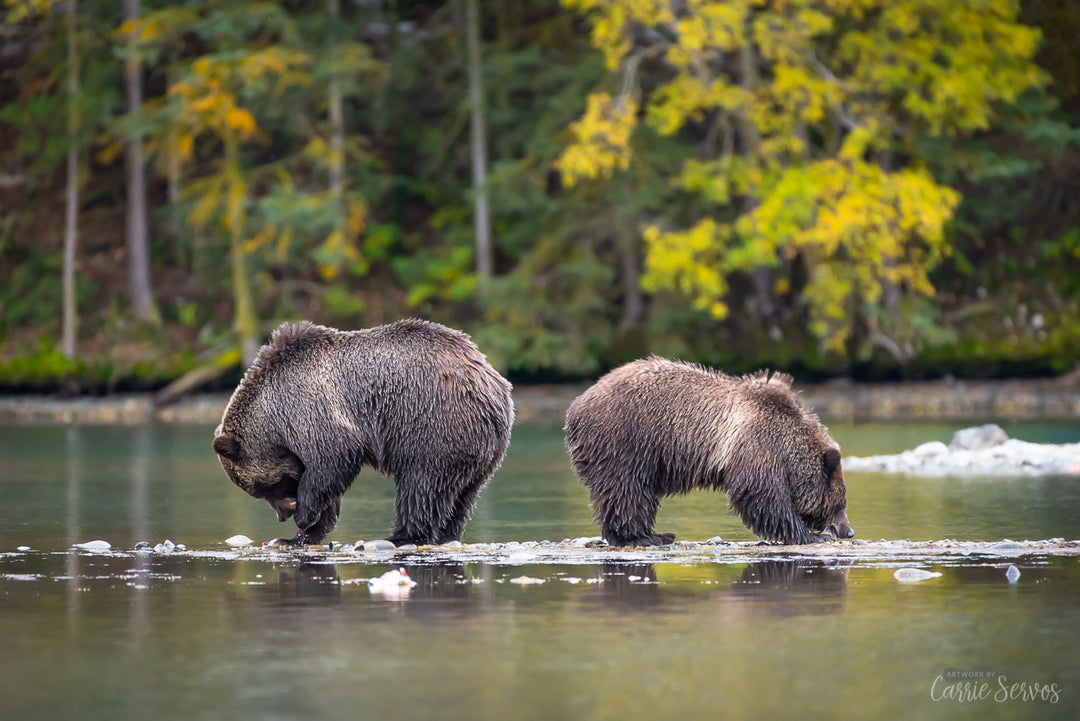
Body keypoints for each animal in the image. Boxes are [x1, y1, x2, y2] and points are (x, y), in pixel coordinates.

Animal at [213, 321, 514, 546]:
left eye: (260, 488)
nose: (283, 515)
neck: (273, 417)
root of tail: (495, 384)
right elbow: (328, 486)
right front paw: (297, 536)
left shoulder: (309, 409)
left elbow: (334, 458)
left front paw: (303, 519)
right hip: (482, 449)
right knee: (463, 495)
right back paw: (447, 533)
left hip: (435, 424)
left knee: (420, 484)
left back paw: (402, 536)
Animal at [565, 358, 851, 548]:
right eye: (840, 503)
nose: (848, 530)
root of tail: (576, 407)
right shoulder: (757, 443)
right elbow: (761, 494)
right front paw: (810, 534)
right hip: (626, 439)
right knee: (626, 489)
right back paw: (648, 536)